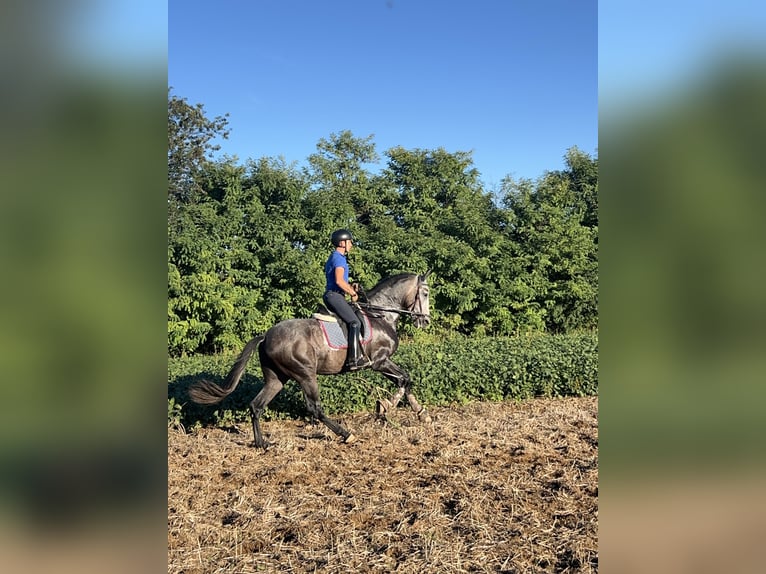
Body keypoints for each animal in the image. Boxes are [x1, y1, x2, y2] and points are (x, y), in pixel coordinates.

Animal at [188, 271, 432, 449]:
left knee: (256, 406)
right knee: (315, 408)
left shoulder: (382, 363)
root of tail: (266, 335)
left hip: (277, 378)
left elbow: (405, 380)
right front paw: (386, 407)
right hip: (305, 374)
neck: (381, 315)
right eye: (426, 293)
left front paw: (421, 413)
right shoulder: (380, 361)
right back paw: (347, 434)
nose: (426, 321)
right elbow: (404, 380)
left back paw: (262, 443)